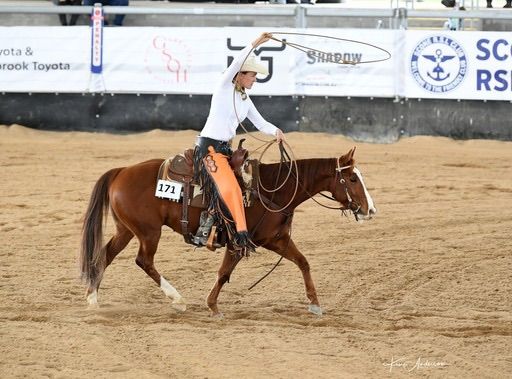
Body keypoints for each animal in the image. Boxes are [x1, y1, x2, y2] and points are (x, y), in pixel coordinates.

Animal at [80, 148, 376, 318]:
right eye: (352, 178)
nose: (370, 209)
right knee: (144, 261)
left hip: (126, 230)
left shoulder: (277, 239)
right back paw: (177, 300)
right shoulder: (238, 241)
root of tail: (121, 171)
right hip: (149, 232)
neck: (272, 190)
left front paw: (314, 304)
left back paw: (93, 299)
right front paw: (212, 306)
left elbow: (303, 262)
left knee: (104, 256)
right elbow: (224, 273)